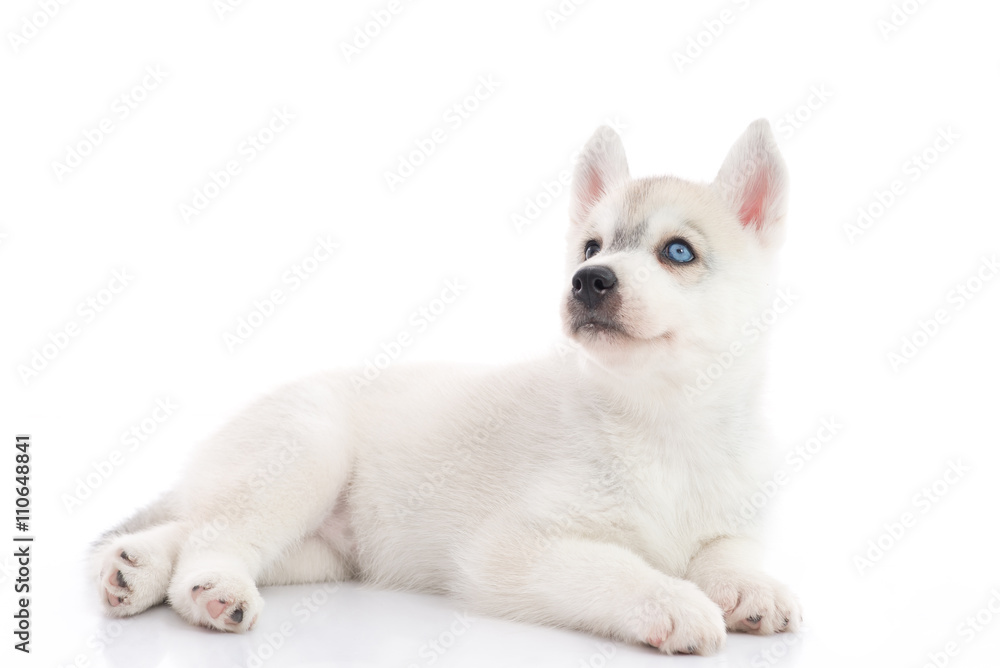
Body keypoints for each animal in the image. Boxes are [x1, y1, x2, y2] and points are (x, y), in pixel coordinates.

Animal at [94, 118, 804, 652]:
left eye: (677, 252)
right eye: (590, 247)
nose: (589, 281)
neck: (665, 425)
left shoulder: (732, 518)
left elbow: (730, 550)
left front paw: (751, 587)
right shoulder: (513, 549)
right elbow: (615, 566)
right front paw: (672, 599)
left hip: (316, 548)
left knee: (196, 526)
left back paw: (134, 569)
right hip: (305, 455)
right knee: (215, 536)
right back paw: (213, 590)